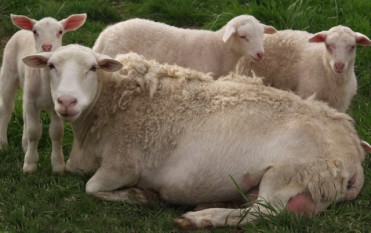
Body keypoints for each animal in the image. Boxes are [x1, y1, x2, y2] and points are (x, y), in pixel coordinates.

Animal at [0, 13, 87, 173]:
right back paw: (3, 144)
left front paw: (58, 165)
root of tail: (21, 31)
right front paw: (30, 165)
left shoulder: (56, 105)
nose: (47, 47)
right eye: (35, 32)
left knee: (24, 115)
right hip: (8, 73)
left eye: (60, 32)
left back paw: (25, 145)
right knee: (6, 111)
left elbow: (56, 132)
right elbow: (34, 131)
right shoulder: (32, 102)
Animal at [23, 44, 370, 228]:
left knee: (263, 213)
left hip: (291, 171)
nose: (66, 102)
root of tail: (354, 152)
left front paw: (142, 197)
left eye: (93, 68)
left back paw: (202, 218)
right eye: (51, 66)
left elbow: (91, 188)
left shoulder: (123, 165)